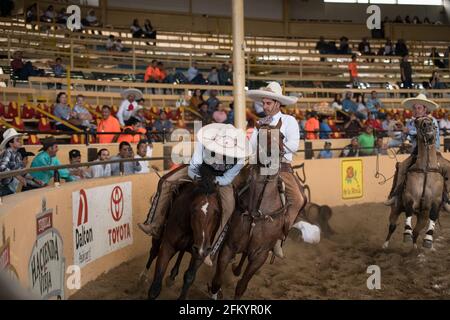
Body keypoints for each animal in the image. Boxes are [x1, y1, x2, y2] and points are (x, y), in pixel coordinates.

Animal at [147, 165, 222, 300]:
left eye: (217, 212)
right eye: (193, 210)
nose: (201, 248)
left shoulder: (200, 254)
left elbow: (189, 277)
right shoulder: (168, 245)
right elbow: (156, 284)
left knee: (181, 252)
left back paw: (172, 275)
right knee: (153, 251)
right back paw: (142, 278)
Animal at [209, 119, 308, 298]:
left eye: (281, 136)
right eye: (260, 136)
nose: (273, 156)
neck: (258, 209)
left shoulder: (260, 255)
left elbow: (241, 286)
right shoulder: (228, 247)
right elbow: (216, 281)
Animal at [384, 117, 442, 250]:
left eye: (432, 121)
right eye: (416, 121)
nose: (427, 125)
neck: (425, 169)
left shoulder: (435, 201)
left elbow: (433, 216)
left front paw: (428, 240)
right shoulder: (409, 197)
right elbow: (409, 211)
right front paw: (406, 234)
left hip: (422, 217)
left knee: (416, 231)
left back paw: (415, 247)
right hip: (396, 208)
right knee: (392, 226)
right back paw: (385, 245)